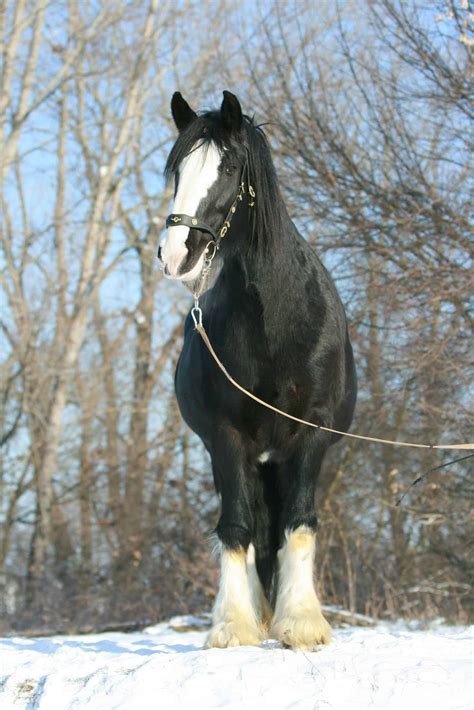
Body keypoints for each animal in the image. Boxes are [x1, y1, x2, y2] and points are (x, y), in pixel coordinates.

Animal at [158, 90, 357, 650]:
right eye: (177, 170)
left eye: (228, 168)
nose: (176, 254)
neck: (278, 323)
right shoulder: (227, 438)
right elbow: (236, 527)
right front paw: (233, 625)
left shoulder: (310, 436)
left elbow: (299, 523)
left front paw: (302, 623)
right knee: (245, 521)